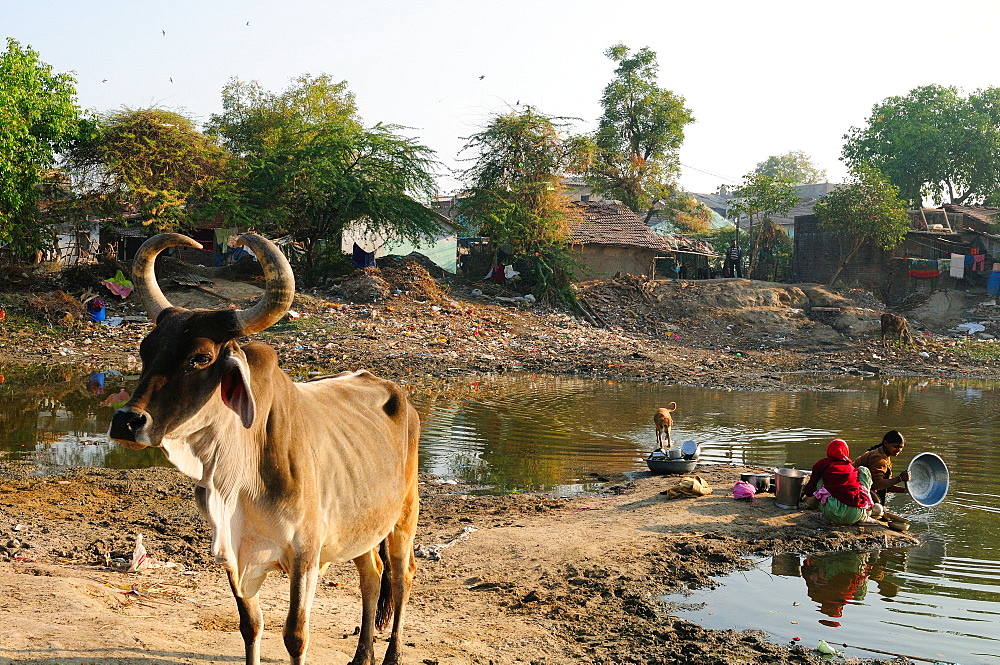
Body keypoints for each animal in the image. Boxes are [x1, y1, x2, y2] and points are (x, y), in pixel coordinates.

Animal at [107, 230, 420, 664]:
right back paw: (362, 656)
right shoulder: (235, 554)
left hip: (404, 516)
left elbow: (295, 635)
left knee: (402, 576)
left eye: (200, 358)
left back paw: (390, 655)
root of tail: (390, 387)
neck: (240, 477)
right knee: (372, 576)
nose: (126, 421)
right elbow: (250, 625)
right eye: (145, 349)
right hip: (363, 525)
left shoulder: (305, 554)